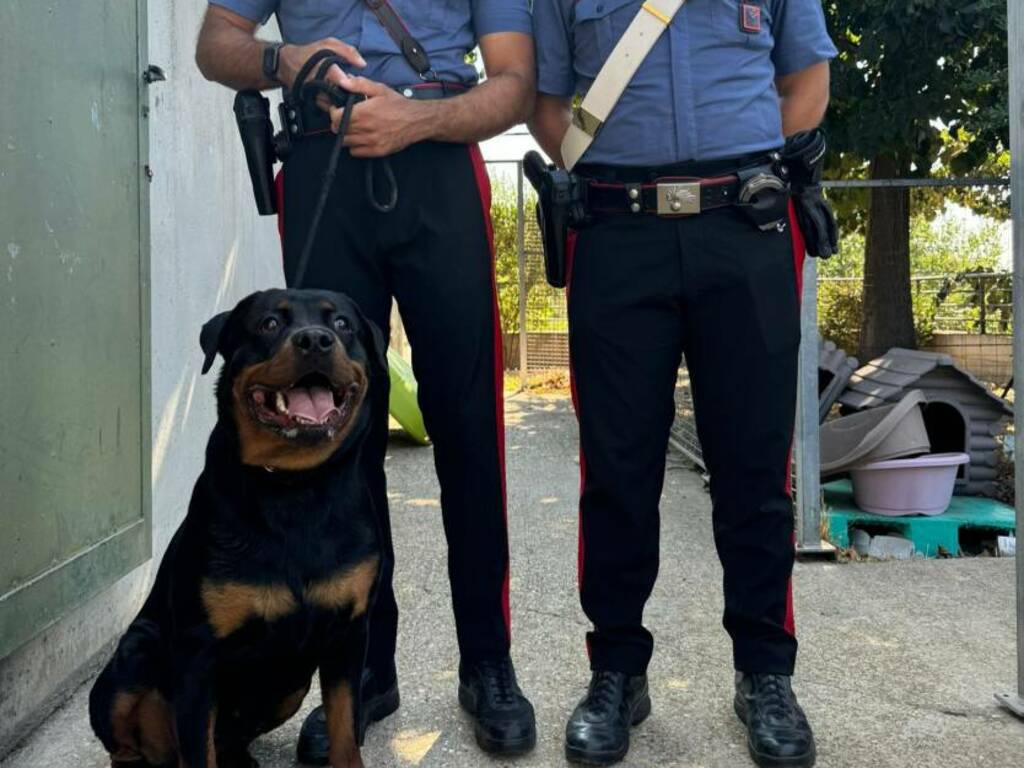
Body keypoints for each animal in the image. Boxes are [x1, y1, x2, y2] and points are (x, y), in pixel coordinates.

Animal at [89, 290, 387, 768]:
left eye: (342, 324)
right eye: (268, 324)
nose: (315, 340)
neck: (294, 489)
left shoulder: (348, 634)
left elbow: (345, 730)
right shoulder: (197, 654)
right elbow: (199, 751)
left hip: (290, 686)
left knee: (229, 737)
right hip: (133, 657)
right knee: (129, 744)